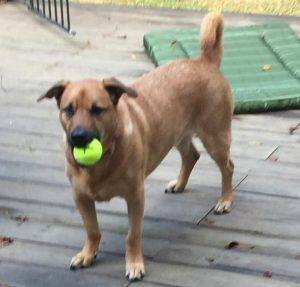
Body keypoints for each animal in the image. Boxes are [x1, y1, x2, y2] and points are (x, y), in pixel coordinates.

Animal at [37, 12, 234, 282]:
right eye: (68, 109)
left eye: (97, 110)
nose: (78, 137)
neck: (102, 162)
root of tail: (204, 61)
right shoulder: (80, 197)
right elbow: (92, 230)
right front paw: (87, 254)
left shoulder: (135, 196)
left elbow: (132, 236)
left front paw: (134, 264)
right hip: (178, 134)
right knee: (191, 155)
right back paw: (180, 184)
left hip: (215, 138)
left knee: (227, 167)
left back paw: (225, 200)